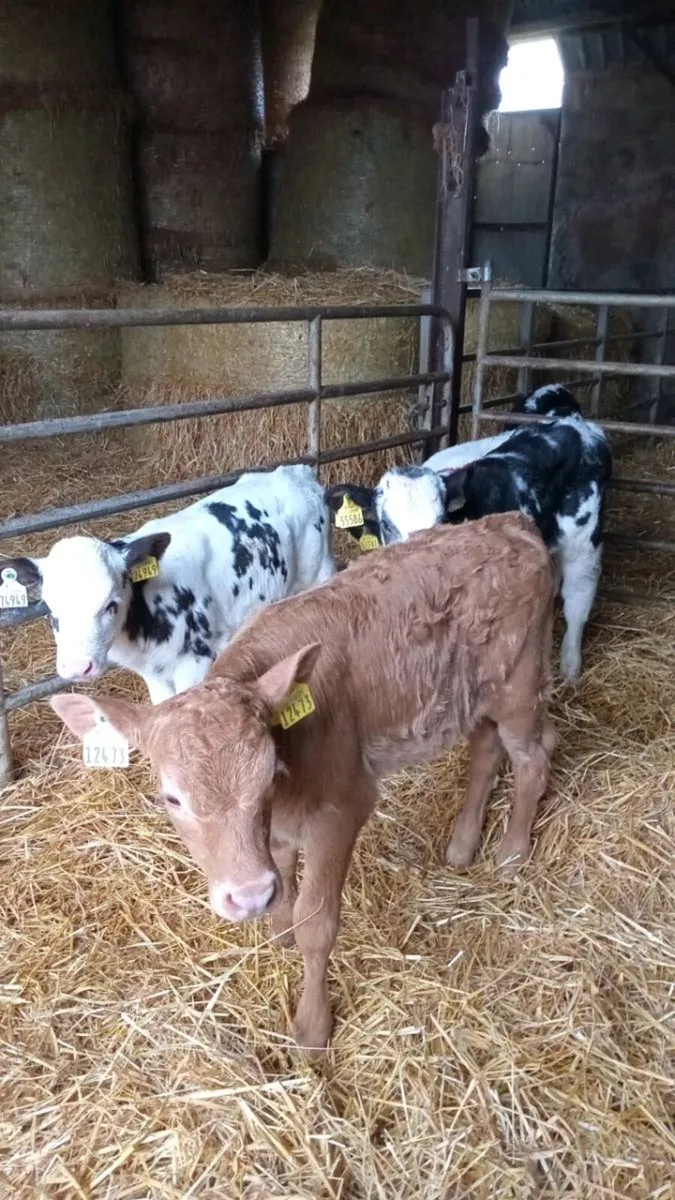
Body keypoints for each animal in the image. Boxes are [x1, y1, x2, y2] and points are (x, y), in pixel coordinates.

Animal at [4, 464, 335, 704]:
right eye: (51, 610)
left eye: (110, 604)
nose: (76, 667)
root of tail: (296, 472)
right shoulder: (152, 673)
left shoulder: (197, 658)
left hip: (321, 571)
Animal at [51, 513, 556, 1055]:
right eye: (173, 797)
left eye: (269, 773)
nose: (248, 896)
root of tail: (511, 523)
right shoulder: (278, 829)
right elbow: (283, 875)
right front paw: (278, 931)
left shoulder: (341, 808)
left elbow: (316, 923)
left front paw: (313, 1027)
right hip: (474, 694)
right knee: (485, 750)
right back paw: (463, 846)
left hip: (520, 685)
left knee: (533, 757)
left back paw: (511, 853)